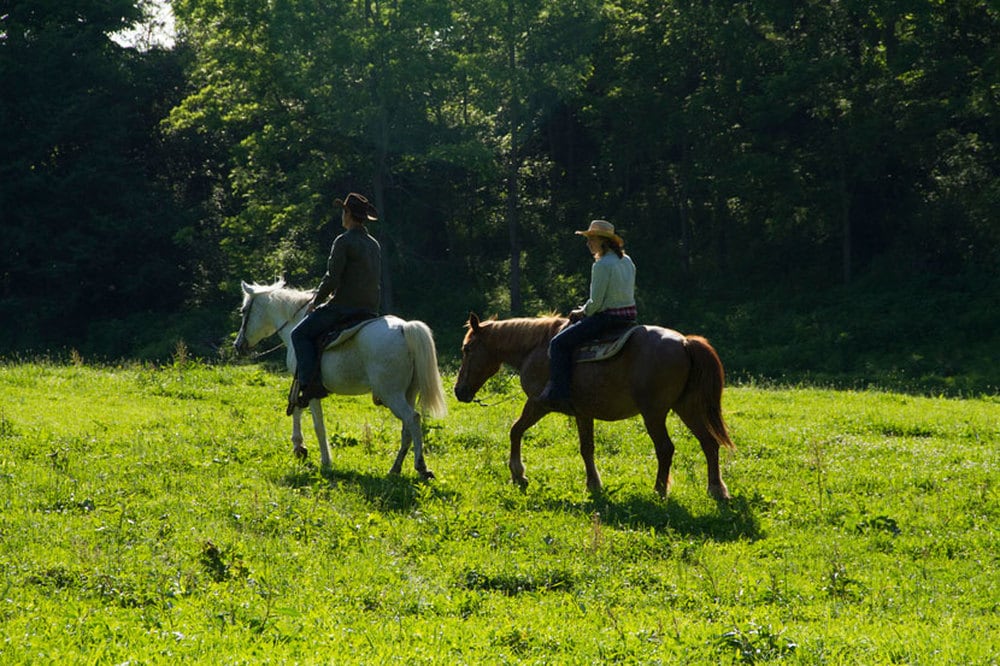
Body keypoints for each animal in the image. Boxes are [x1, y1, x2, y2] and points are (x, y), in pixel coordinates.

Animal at [234, 278, 446, 478]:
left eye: (243, 311)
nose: (238, 344)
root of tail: (404, 328)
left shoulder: (308, 387)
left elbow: (317, 424)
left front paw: (325, 460)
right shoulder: (301, 383)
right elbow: (296, 408)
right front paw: (299, 447)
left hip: (391, 395)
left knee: (412, 419)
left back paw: (421, 467)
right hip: (408, 393)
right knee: (407, 429)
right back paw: (395, 468)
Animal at [454, 312, 736, 498]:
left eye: (467, 348)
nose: (459, 391)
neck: (537, 348)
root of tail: (685, 343)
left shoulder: (538, 403)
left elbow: (515, 430)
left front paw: (518, 474)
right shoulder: (583, 413)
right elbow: (587, 448)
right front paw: (594, 484)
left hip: (654, 413)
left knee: (666, 448)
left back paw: (659, 490)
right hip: (687, 407)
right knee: (709, 443)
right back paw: (716, 489)